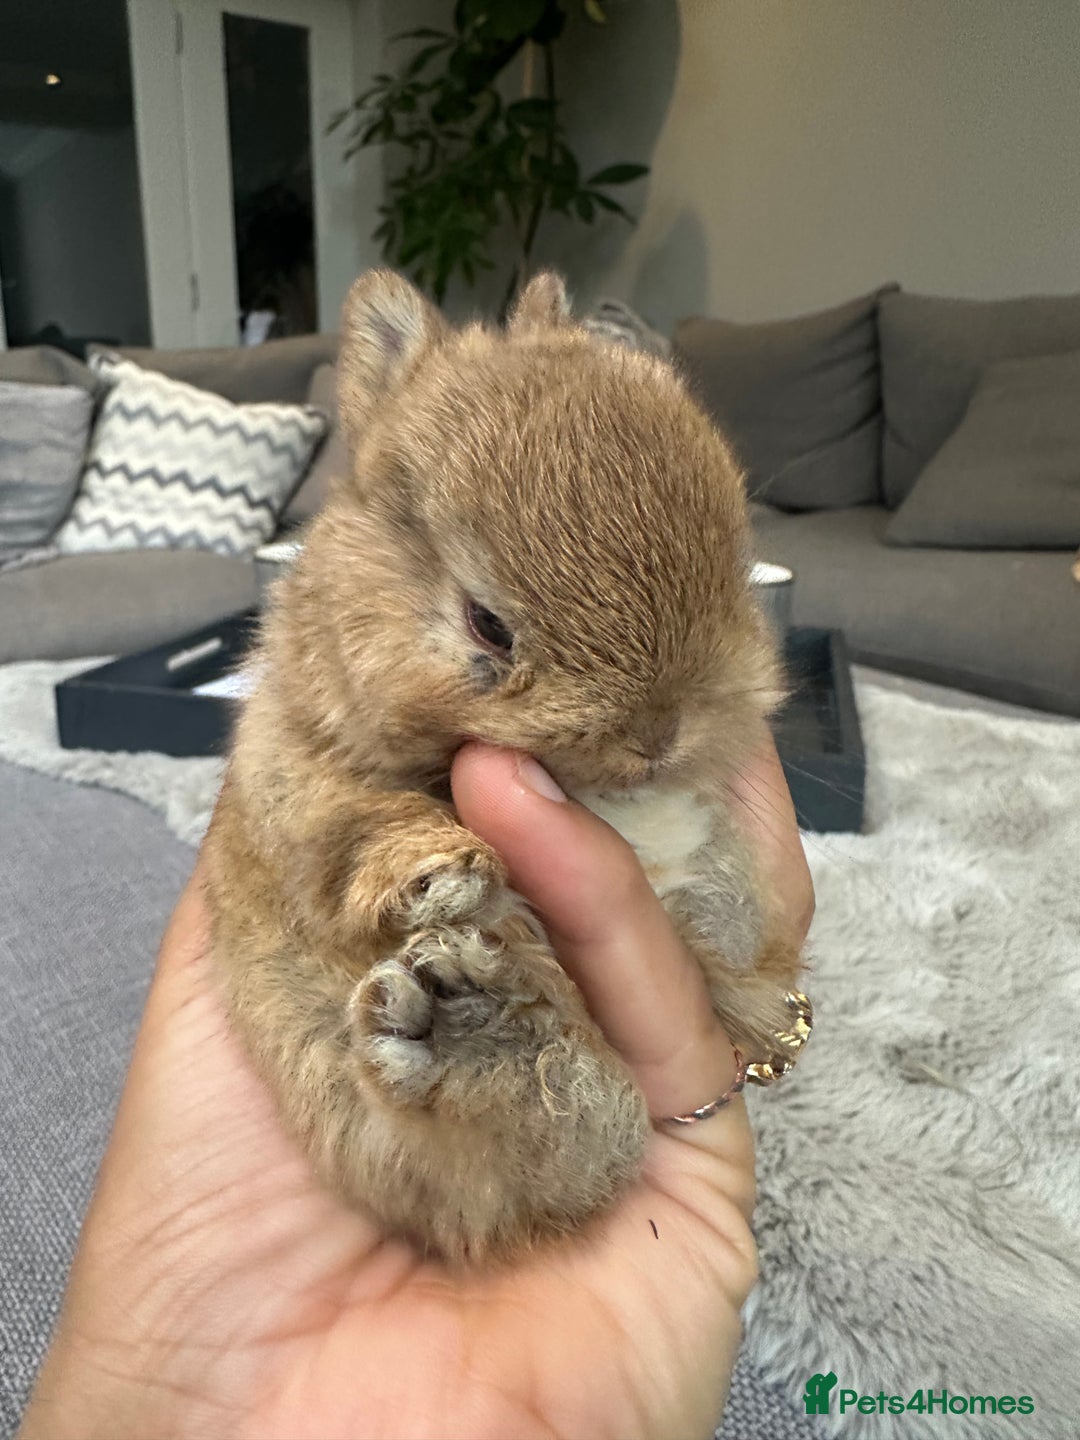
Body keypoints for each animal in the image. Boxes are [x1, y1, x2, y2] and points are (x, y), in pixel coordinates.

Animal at [203, 268, 804, 1264]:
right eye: (487, 625)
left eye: (734, 569)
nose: (656, 732)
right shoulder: (295, 773)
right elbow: (354, 822)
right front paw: (438, 876)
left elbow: (737, 935)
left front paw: (713, 909)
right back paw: (462, 1029)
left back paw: (467, 1028)